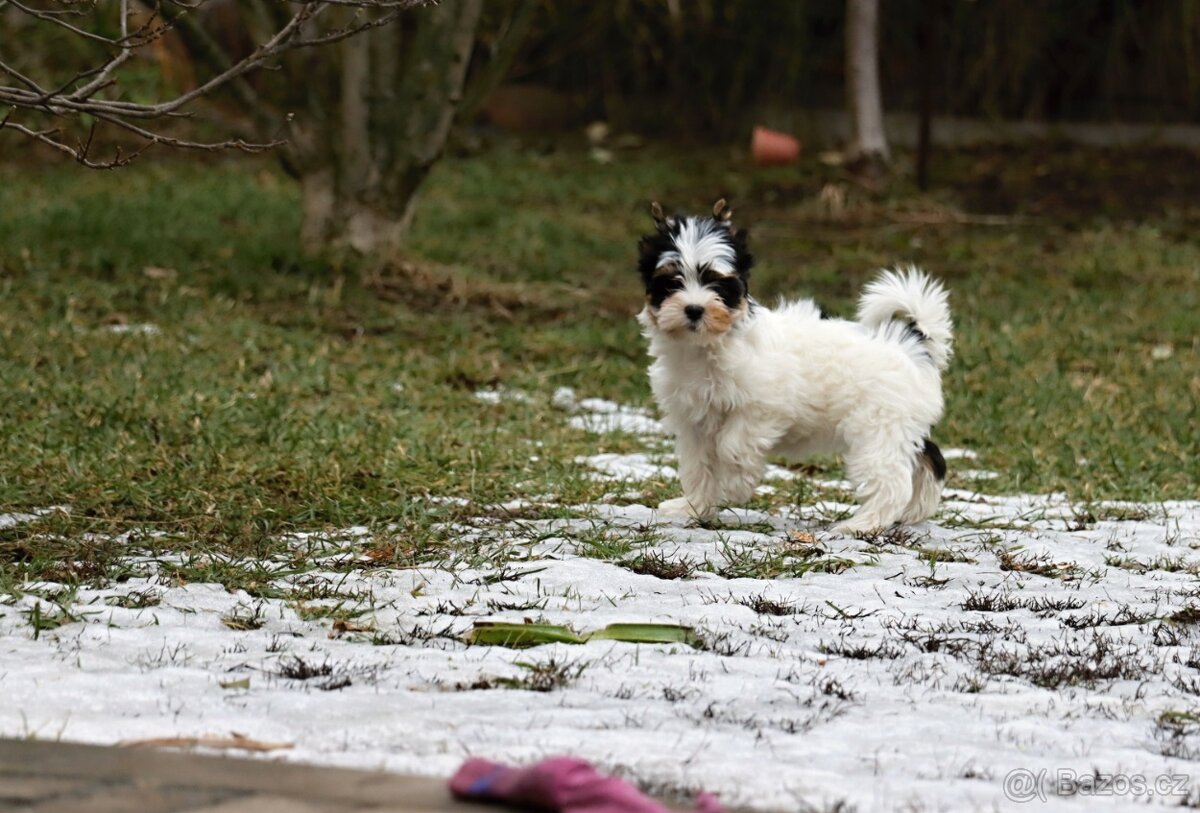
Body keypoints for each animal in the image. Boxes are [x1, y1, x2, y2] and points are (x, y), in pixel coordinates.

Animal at [633, 201, 950, 537]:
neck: (709, 345)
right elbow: (699, 466)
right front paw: (694, 507)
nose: (694, 309)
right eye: (671, 282)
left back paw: (862, 524)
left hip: (879, 427)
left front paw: (734, 486)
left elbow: (733, 447)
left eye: (717, 283)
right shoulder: (694, 422)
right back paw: (913, 511)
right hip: (901, 426)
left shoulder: (761, 408)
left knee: (892, 481)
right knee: (929, 460)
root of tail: (912, 345)